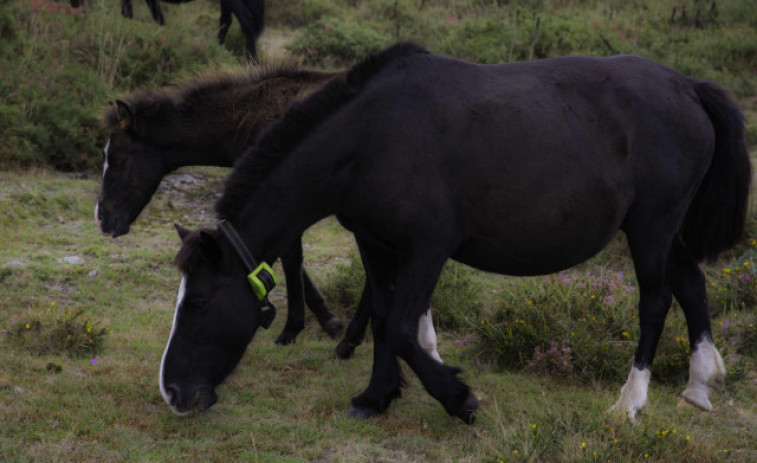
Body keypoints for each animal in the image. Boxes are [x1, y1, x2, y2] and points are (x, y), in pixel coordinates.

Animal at [120, 0, 266, 60]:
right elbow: (158, 16)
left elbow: (127, 13)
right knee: (226, 20)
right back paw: (217, 49)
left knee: (246, 21)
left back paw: (251, 61)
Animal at [161, 43, 752, 424]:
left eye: (199, 304)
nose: (172, 392)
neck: (371, 138)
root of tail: (688, 86)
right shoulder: (376, 243)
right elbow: (383, 318)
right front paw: (376, 397)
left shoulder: (428, 248)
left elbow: (403, 328)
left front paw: (458, 398)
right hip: (665, 232)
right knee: (692, 284)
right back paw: (699, 387)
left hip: (650, 227)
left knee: (655, 302)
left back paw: (629, 404)